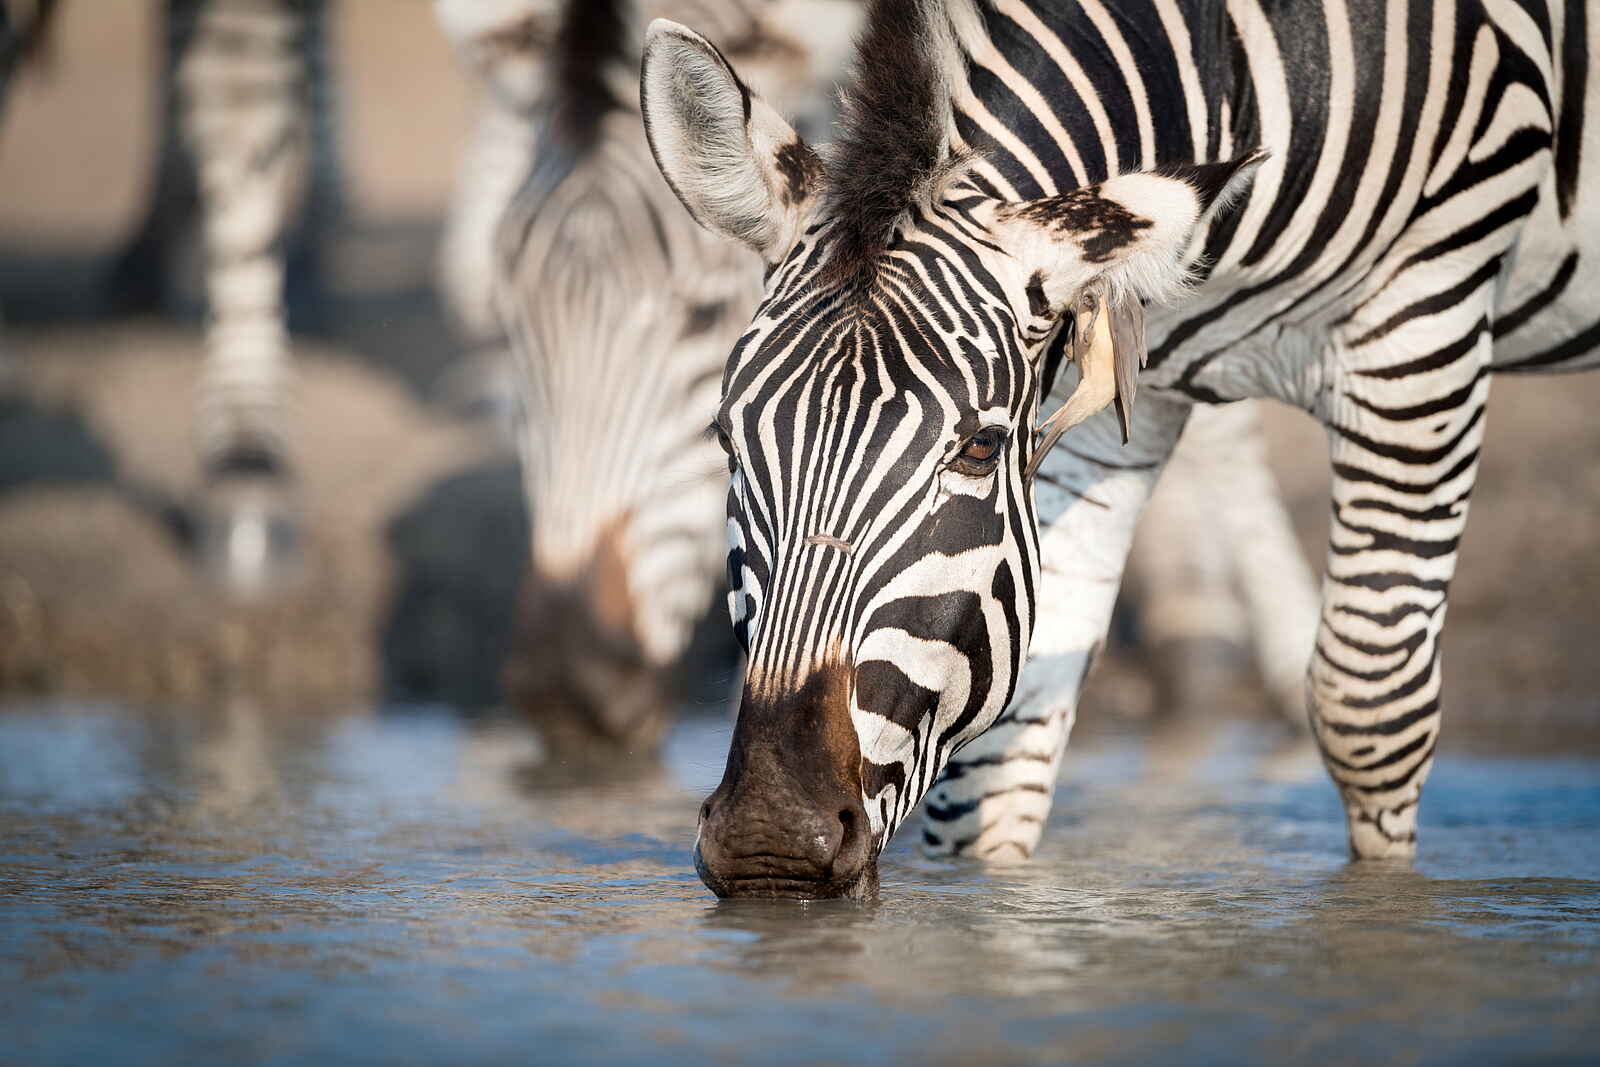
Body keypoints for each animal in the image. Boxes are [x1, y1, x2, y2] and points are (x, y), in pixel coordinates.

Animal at [638, 0, 1599, 898]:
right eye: (727, 436)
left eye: (981, 448)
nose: (769, 838)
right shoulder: (1104, 394)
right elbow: (1005, 753)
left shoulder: (1422, 319)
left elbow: (1372, 711)